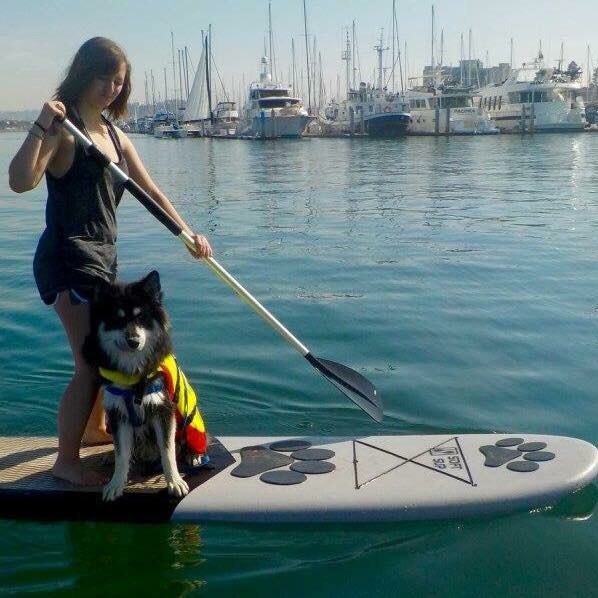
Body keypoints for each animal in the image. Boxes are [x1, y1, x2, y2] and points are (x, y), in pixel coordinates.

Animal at [83, 274, 206, 504]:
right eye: (117, 319)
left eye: (141, 317)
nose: (133, 341)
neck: (134, 377)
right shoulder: (118, 412)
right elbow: (122, 454)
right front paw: (115, 484)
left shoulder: (163, 409)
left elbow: (167, 450)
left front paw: (175, 482)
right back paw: (109, 456)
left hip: (189, 422)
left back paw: (193, 455)